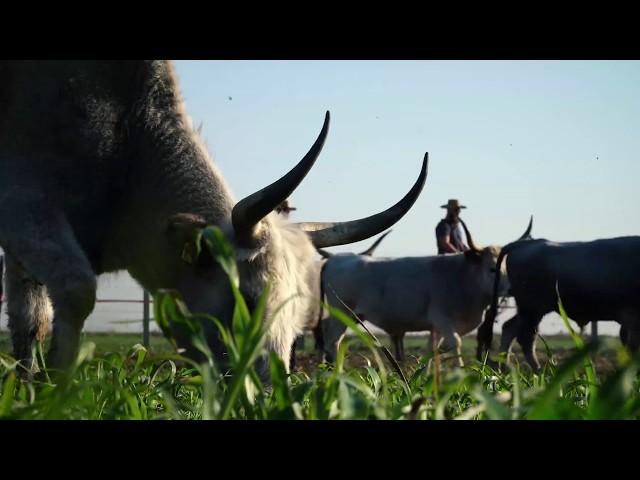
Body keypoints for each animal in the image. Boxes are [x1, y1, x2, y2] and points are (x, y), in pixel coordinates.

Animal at [1, 61, 430, 376]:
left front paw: (29, 387)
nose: (269, 385)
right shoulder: (23, 204)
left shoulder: (27, 243)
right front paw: (58, 389)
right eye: (249, 299)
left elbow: (31, 320)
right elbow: (74, 292)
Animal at [320, 219, 536, 366]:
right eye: (492, 268)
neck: (464, 276)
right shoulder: (442, 320)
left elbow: (430, 351)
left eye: (507, 267)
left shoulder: (436, 327)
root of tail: (336, 259)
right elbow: (455, 343)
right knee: (332, 342)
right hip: (341, 313)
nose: (511, 289)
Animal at [478, 232, 640, 372]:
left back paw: (504, 369)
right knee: (525, 337)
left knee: (510, 329)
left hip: (529, 309)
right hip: (533, 308)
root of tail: (529, 243)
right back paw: (539, 372)